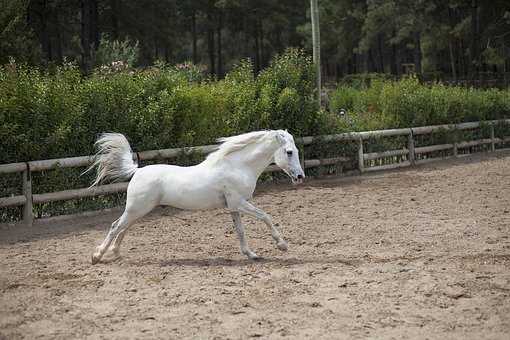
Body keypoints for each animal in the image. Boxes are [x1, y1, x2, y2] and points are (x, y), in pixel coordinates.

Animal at [88, 129, 304, 264]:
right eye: (289, 152)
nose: (300, 177)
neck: (238, 167)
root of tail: (137, 171)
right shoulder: (239, 203)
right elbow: (265, 217)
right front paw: (282, 245)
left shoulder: (233, 207)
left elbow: (241, 231)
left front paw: (252, 255)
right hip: (137, 208)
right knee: (116, 226)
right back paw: (97, 256)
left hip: (139, 210)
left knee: (123, 228)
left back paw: (115, 254)